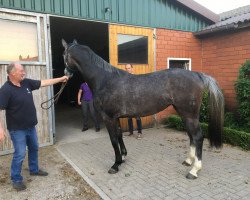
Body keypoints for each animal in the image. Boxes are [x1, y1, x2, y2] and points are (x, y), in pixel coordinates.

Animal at [62, 39, 225, 180]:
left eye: (64, 55)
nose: (66, 74)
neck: (105, 80)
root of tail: (197, 74)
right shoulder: (116, 118)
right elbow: (119, 136)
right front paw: (123, 157)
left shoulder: (108, 118)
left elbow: (113, 140)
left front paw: (115, 165)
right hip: (184, 113)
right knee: (191, 135)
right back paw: (188, 161)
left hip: (189, 114)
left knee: (198, 136)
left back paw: (194, 170)